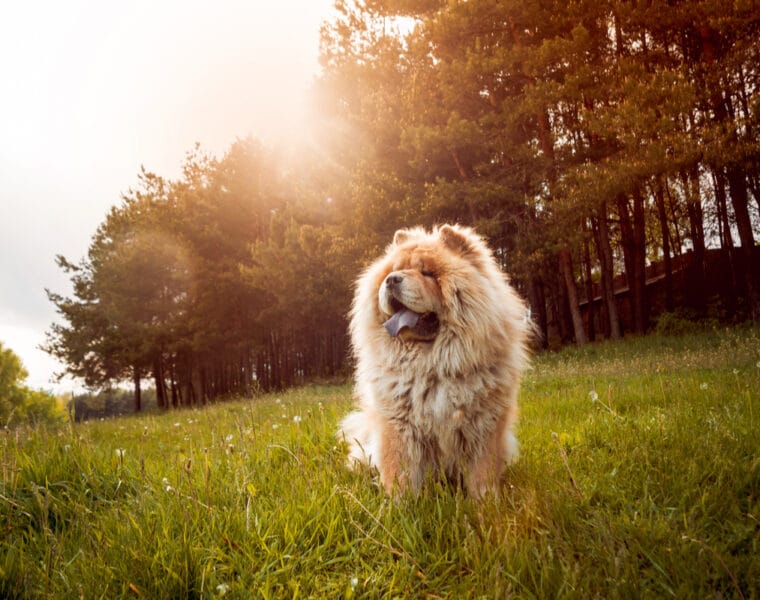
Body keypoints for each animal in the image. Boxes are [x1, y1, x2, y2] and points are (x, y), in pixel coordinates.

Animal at [338, 225, 528, 496]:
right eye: (393, 270)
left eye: (427, 273)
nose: (392, 279)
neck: (432, 364)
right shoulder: (399, 425)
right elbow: (400, 471)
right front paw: (400, 503)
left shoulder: (485, 425)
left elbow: (483, 471)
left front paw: (486, 501)